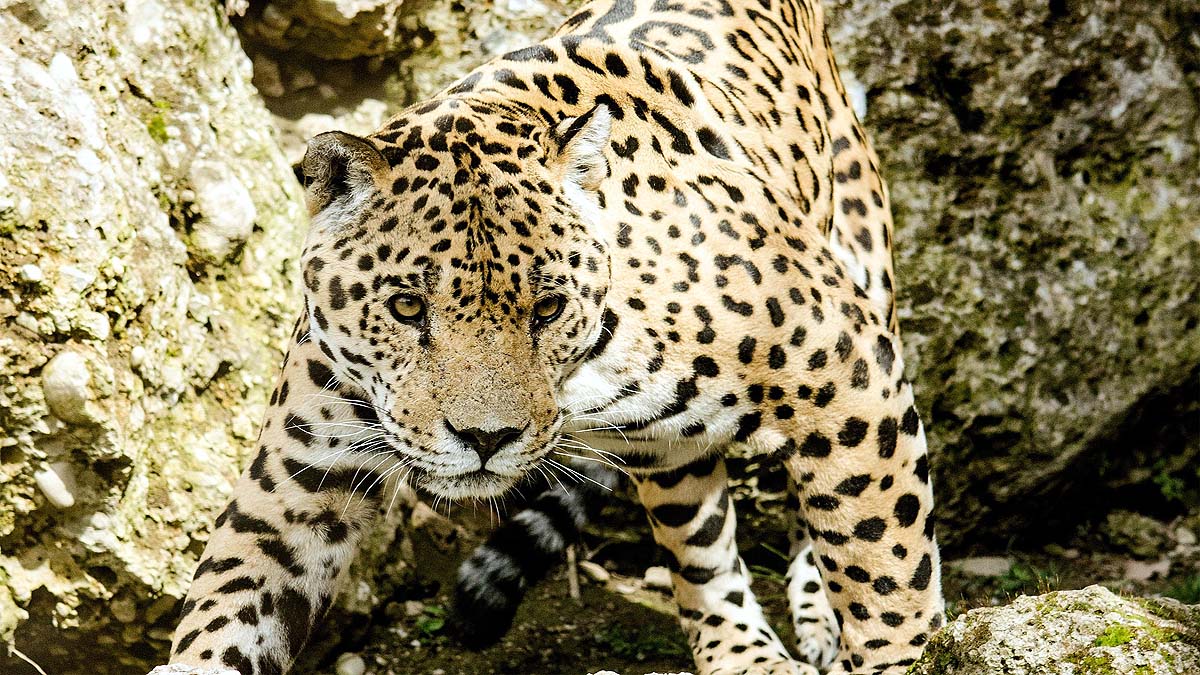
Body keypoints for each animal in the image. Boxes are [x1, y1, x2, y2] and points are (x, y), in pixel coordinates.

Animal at [163, 0, 944, 673]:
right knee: (700, 545)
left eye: (546, 307)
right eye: (407, 307)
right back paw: (742, 655)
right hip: (666, 447)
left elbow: (885, 566)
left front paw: (904, 655)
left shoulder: (849, 374)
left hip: (865, 262)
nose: (486, 438)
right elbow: (226, 611)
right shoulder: (293, 488)